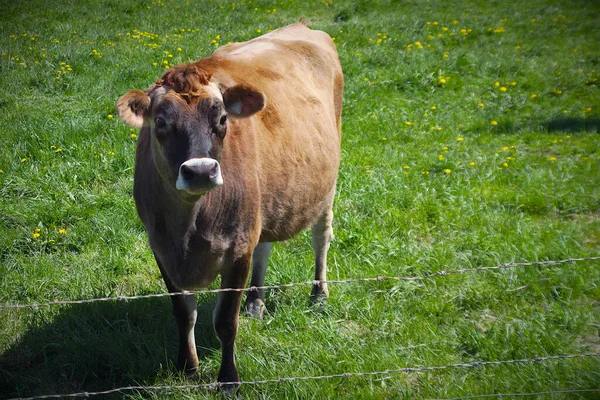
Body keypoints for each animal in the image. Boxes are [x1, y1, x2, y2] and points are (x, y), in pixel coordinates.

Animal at [117, 22, 342, 388]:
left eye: (222, 118)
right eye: (160, 122)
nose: (200, 170)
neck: (188, 229)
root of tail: (301, 25)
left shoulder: (237, 249)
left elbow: (224, 321)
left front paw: (228, 379)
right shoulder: (160, 247)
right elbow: (184, 313)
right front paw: (187, 367)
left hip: (326, 184)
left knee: (321, 235)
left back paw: (319, 294)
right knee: (265, 245)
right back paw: (255, 301)